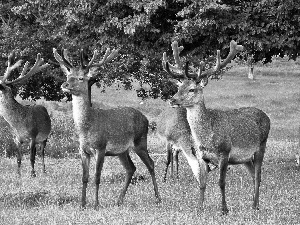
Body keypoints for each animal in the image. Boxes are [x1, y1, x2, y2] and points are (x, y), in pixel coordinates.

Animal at [54, 46, 162, 208]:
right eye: (68, 76)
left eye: (81, 78)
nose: (64, 85)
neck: (86, 128)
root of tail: (146, 118)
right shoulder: (82, 150)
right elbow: (84, 177)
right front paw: (82, 204)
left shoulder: (101, 147)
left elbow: (97, 176)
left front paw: (96, 204)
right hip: (122, 151)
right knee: (131, 168)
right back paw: (119, 200)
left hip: (141, 141)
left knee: (151, 164)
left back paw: (158, 198)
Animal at [163, 40, 270, 214]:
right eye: (179, 88)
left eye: (192, 89)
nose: (173, 100)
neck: (207, 136)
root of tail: (267, 117)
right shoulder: (201, 155)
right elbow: (202, 182)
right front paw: (199, 208)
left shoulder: (224, 152)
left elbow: (221, 182)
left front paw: (224, 209)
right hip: (245, 158)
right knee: (253, 174)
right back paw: (255, 204)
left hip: (262, 145)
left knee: (258, 175)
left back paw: (255, 205)